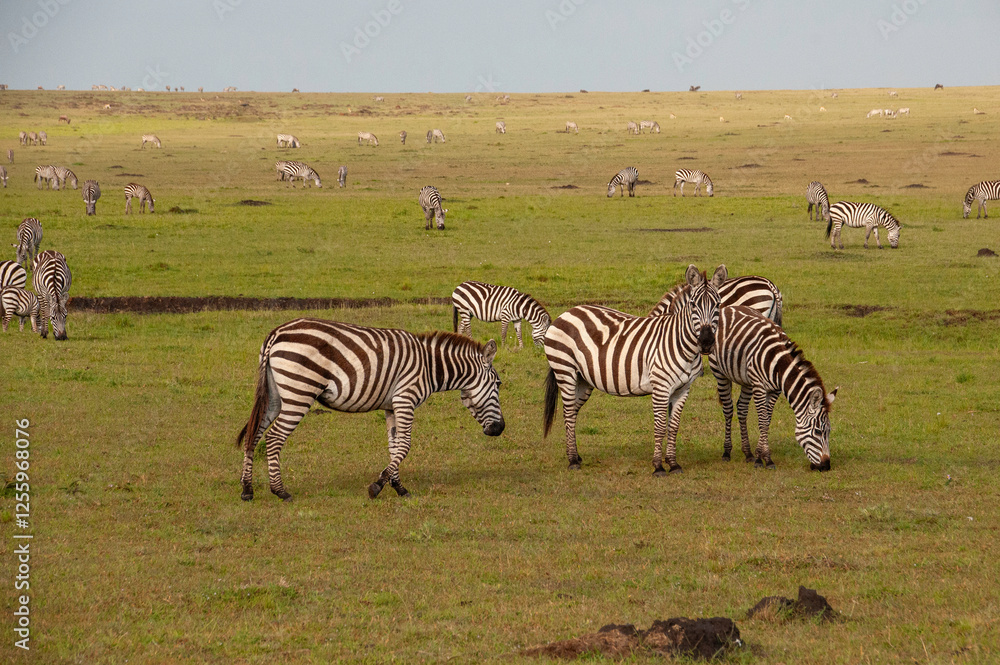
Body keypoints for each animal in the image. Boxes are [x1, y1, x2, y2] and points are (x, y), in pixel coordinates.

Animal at [235, 318, 505, 501]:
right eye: (499, 384)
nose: (500, 429)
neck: (430, 366)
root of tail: (277, 333)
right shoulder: (405, 398)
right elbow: (405, 446)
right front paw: (377, 486)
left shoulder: (392, 406)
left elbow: (395, 446)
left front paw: (398, 487)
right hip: (298, 393)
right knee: (273, 438)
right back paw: (280, 491)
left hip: (275, 396)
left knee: (254, 434)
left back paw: (247, 489)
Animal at [543, 265, 728, 474]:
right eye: (693, 305)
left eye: (718, 305)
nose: (706, 342)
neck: (680, 343)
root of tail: (567, 312)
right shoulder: (661, 387)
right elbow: (660, 426)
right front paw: (658, 467)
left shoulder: (683, 389)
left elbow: (673, 427)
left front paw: (673, 464)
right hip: (564, 370)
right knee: (567, 412)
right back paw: (573, 460)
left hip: (583, 380)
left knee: (572, 413)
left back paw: (576, 456)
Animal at [708, 306, 836, 470]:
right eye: (819, 431)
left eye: (829, 432)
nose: (826, 465)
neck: (778, 365)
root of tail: (729, 307)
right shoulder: (759, 386)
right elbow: (762, 420)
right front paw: (763, 459)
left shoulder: (775, 390)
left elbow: (767, 420)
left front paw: (761, 456)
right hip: (720, 373)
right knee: (728, 409)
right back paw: (726, 452)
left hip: (746, 380)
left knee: (742, 409)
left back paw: (747, 453)